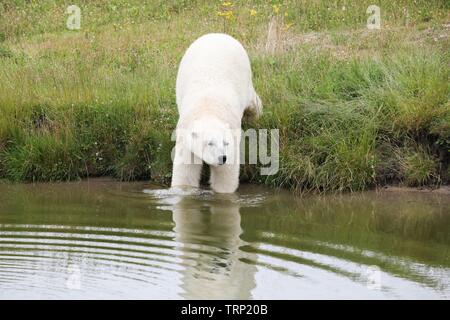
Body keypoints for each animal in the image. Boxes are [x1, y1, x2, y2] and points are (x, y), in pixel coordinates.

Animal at [171, 33, 262, 192]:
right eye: (210, 143)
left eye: (225, 143)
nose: (222, 158)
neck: (208, 109)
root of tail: (219, 34)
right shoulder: (185, 134)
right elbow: (186, 170)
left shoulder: (232, 136)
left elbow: (225, 173)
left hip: (245, 76)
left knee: (252, 102)